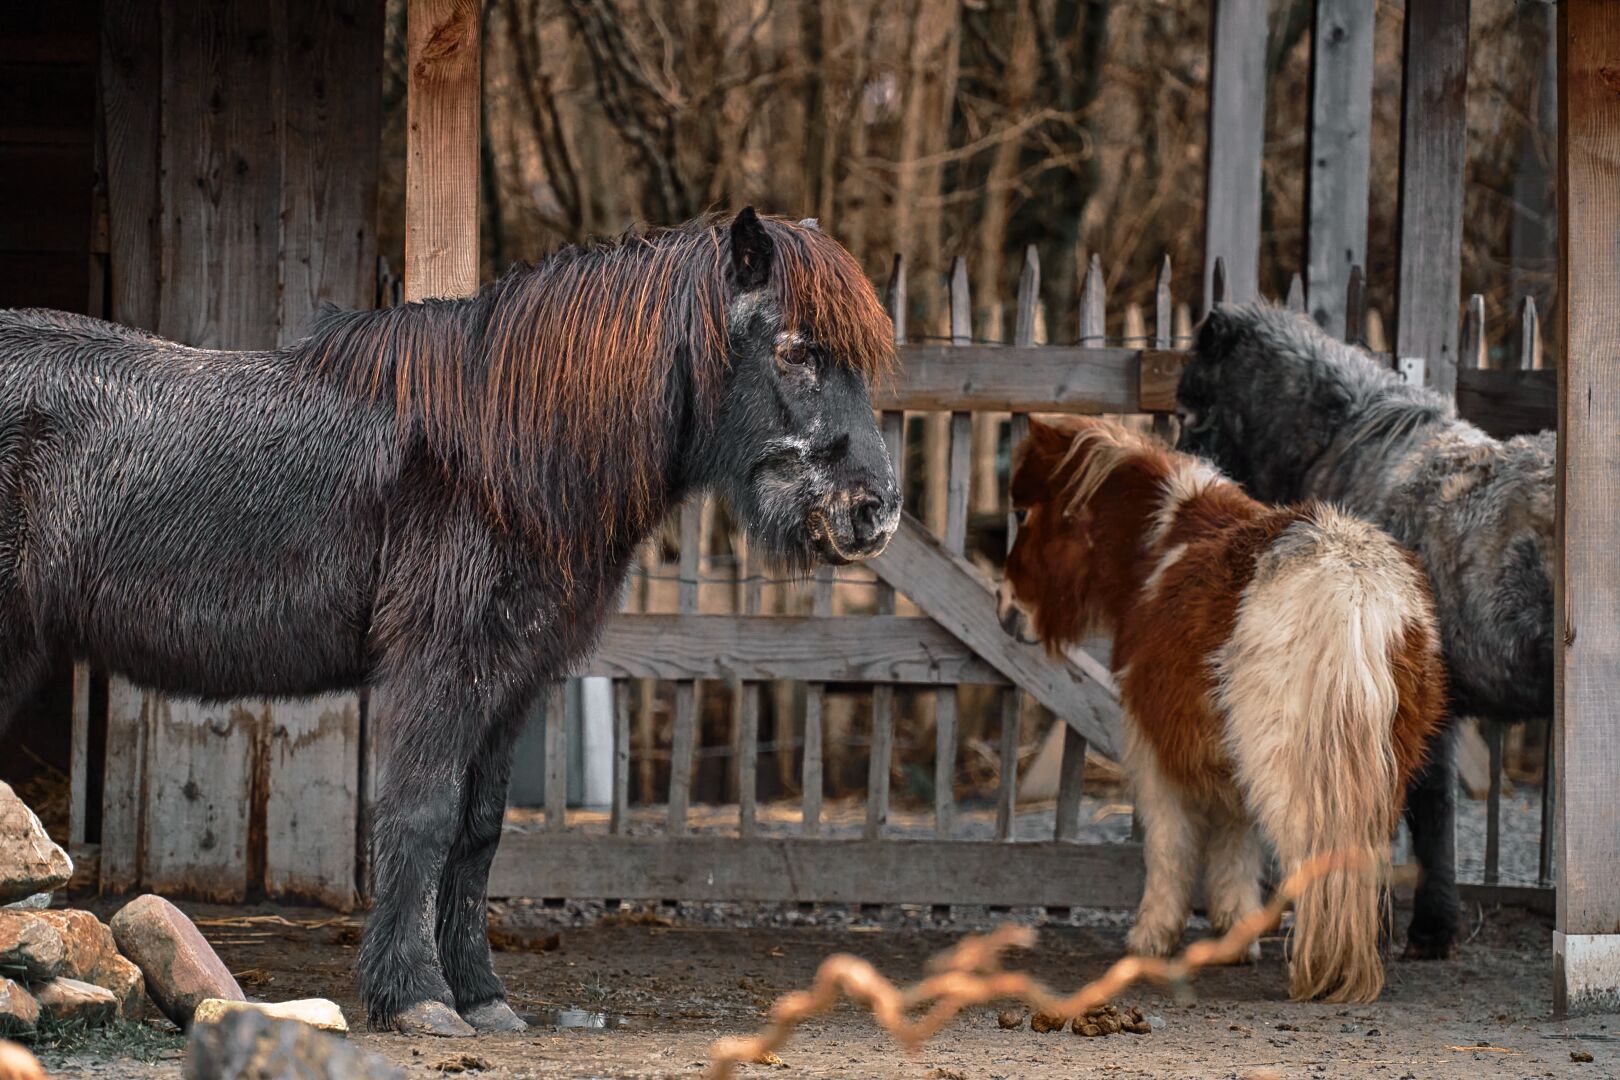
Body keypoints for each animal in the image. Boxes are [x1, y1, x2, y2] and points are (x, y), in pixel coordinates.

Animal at [0, 208, 902, 1036]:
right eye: (797, 350)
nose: (876, 511)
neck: (500, 453)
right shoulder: (444, 666)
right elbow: (423, 815)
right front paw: (418, 998)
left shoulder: (513, 678)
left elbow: (478, 833)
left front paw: (481, 995)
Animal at [998, 416, 1445, 1003]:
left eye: (1023, 514)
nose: (1005, 612)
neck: (1161, 547)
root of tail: (1354, 589)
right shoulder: (1229, 758)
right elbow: (1236, 842)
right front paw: (1235, 934)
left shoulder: (1154, 748)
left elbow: (1169, 847)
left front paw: (1151, 937)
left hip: (1290, 768)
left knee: (1314, 859)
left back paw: (1320, 970)